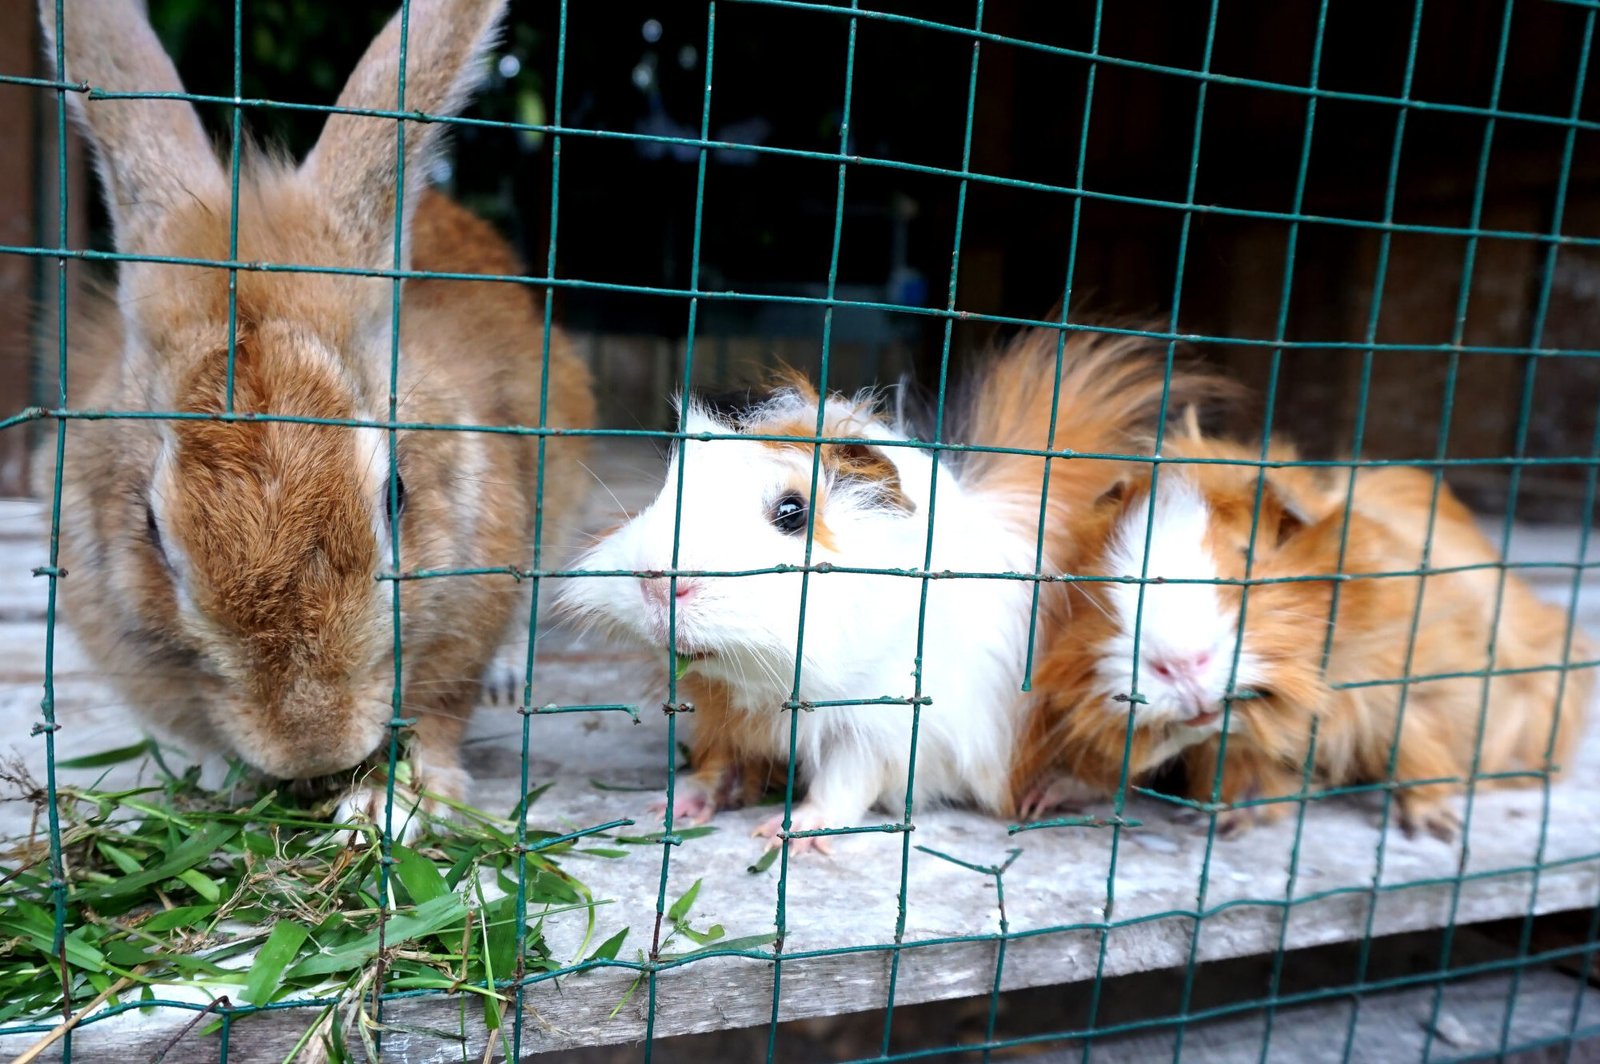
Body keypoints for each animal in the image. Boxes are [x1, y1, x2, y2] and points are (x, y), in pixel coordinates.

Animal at [556, 320, 1216, 851]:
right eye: (669, 489)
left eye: (792, 513)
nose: (656, 583)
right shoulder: (725, 712)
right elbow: (718, 765)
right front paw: (669, 806)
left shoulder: (881, 728)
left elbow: (843, 784)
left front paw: (787, 835)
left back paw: (1043, 798)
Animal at [1011, 422, 1587, 838]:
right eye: (1108, 577)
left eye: (1248, 555)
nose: (1179, 664)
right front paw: (1043, 796)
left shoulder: (1408, 690)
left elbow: (1414, 743)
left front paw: (1432, 827)